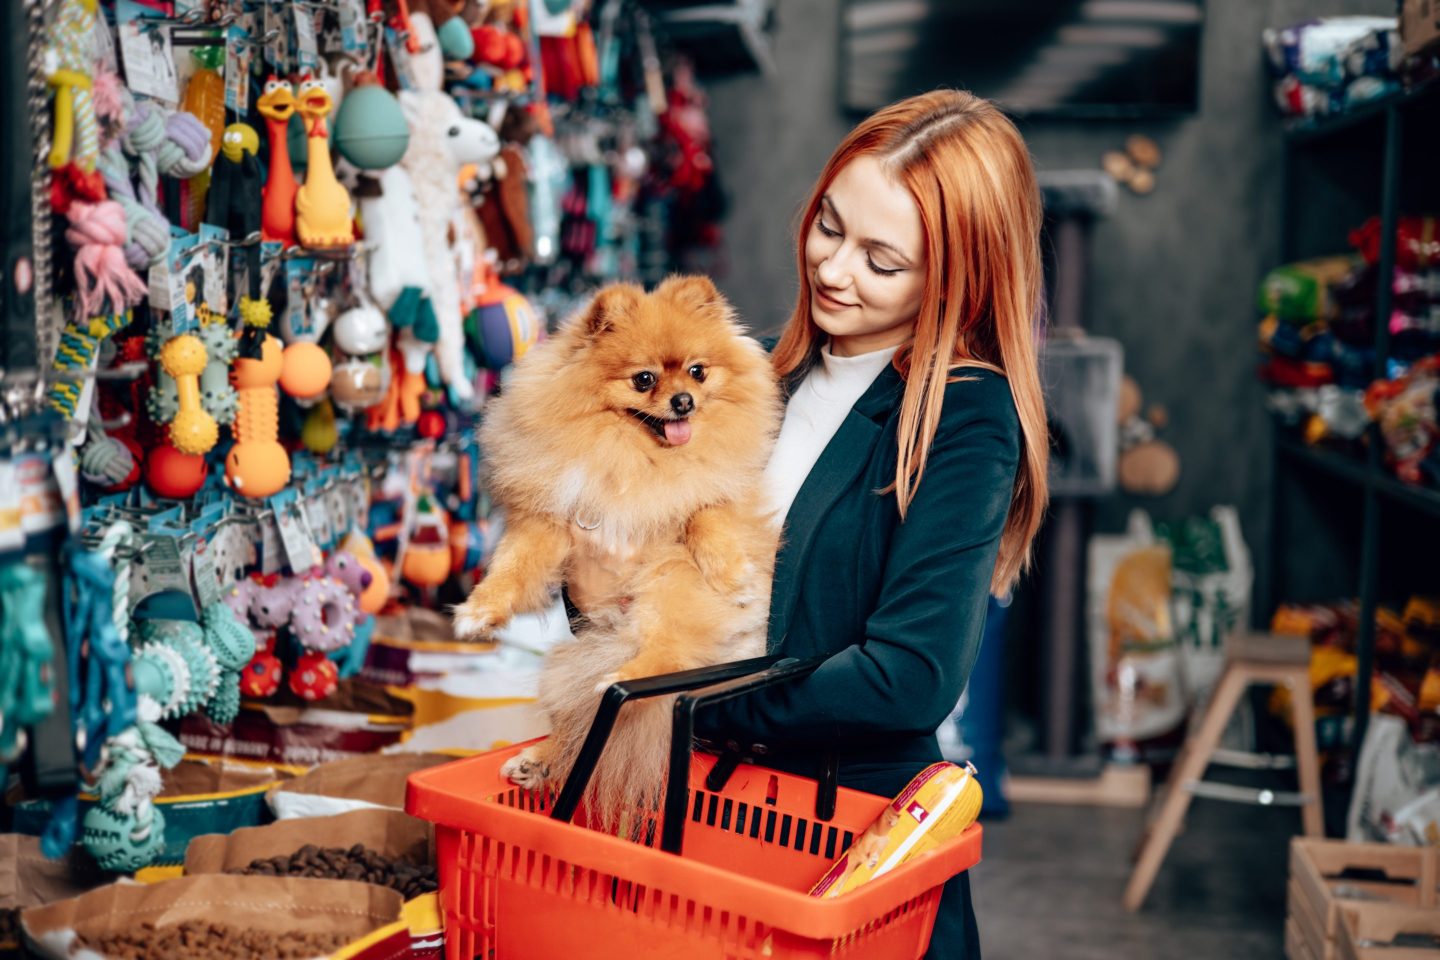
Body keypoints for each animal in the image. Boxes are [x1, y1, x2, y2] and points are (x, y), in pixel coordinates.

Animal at [452, 273, 783, 829]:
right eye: (643, 380)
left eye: (697, 372)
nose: (684, 401)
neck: (635, 457)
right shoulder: (551, 519)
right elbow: (512, 567)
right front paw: (480, 612)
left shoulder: (719, 491)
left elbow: (706, 514)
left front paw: (733, 573)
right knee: (577, 723)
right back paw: (539, 760)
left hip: (669, 583)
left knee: (665, 653)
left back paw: (623, 677)